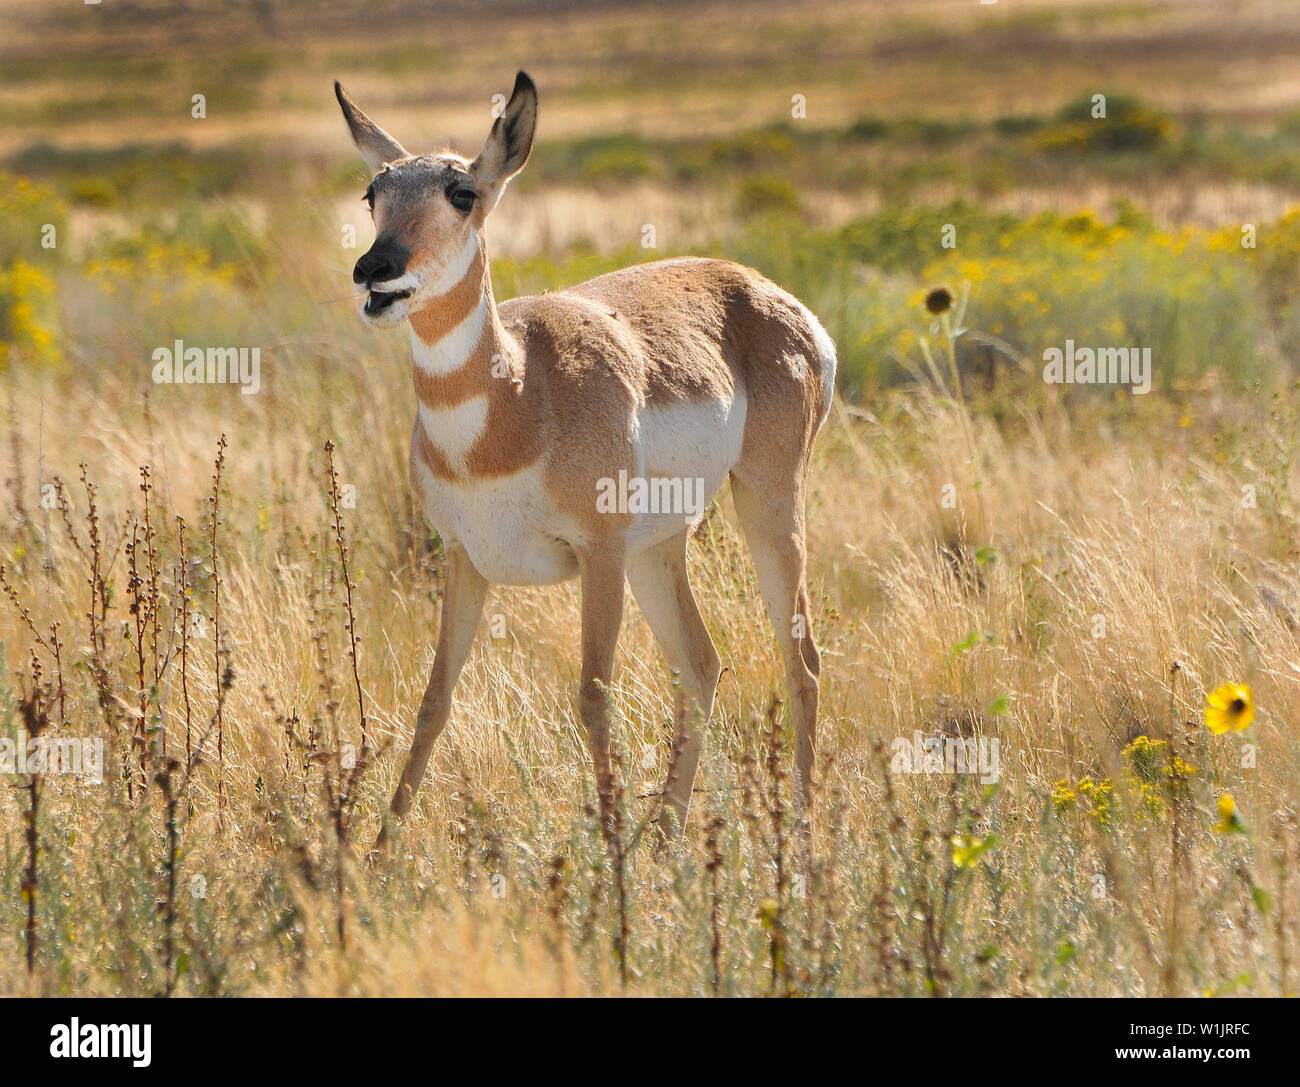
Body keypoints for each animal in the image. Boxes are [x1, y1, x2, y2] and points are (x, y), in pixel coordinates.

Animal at [335, 72, 836, 850]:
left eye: (461, 190)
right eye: (373, 192)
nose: (375, 271)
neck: (516, 397)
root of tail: (772, 296)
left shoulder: (596, 555)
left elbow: (593, 697)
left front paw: (610, 856)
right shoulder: (464, 559)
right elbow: (433, 701)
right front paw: (378, 853)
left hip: (765, 506)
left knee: (800, 661)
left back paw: (799, 840)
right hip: (657, 550)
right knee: (702, 665)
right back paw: (666, 837)